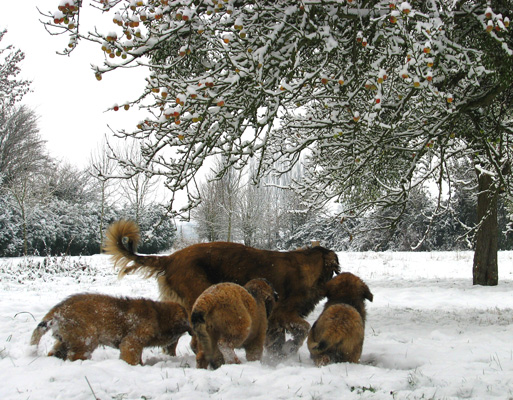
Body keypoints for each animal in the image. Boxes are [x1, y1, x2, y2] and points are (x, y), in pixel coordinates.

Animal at [32, 290, 192, 366]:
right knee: (75, 356)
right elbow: (132, 358)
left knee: (55, 353)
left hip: (65, 341)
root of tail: (57, 311)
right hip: (87, 339)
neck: (159, 315)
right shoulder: (131, 342)